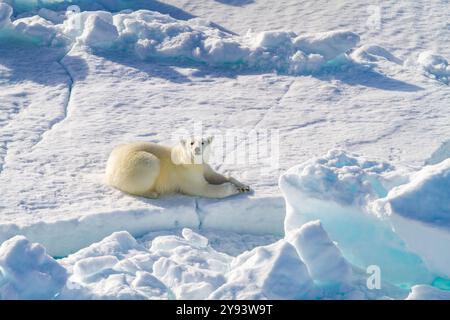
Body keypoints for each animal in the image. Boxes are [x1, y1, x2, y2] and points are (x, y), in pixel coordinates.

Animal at [106, 137, 253, 199]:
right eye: (191, 143)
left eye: (203, 142)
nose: (197, 149)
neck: (191, 161)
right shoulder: (185, 173)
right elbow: (201, 188)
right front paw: (233, 189)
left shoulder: (203, 166)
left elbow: (214, 175)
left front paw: (244, 186)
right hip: (137, 163)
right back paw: (151, 193)